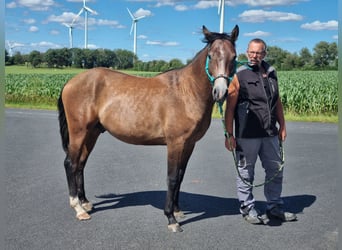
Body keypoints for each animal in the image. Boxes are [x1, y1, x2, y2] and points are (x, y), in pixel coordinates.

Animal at [58, 24, 238, 231]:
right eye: (211, 55)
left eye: (234, 56)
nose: (220, 92)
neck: (186, 92)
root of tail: (71, 82)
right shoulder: (175, 143)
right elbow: (172, 177)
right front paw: (171, 218)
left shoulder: (189, 144)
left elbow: (181, 176)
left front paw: (177, 210)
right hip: (78, 132)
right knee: (70, 164)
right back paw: (78, 208)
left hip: (92, 133)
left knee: (80, 164)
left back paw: (85, 202)